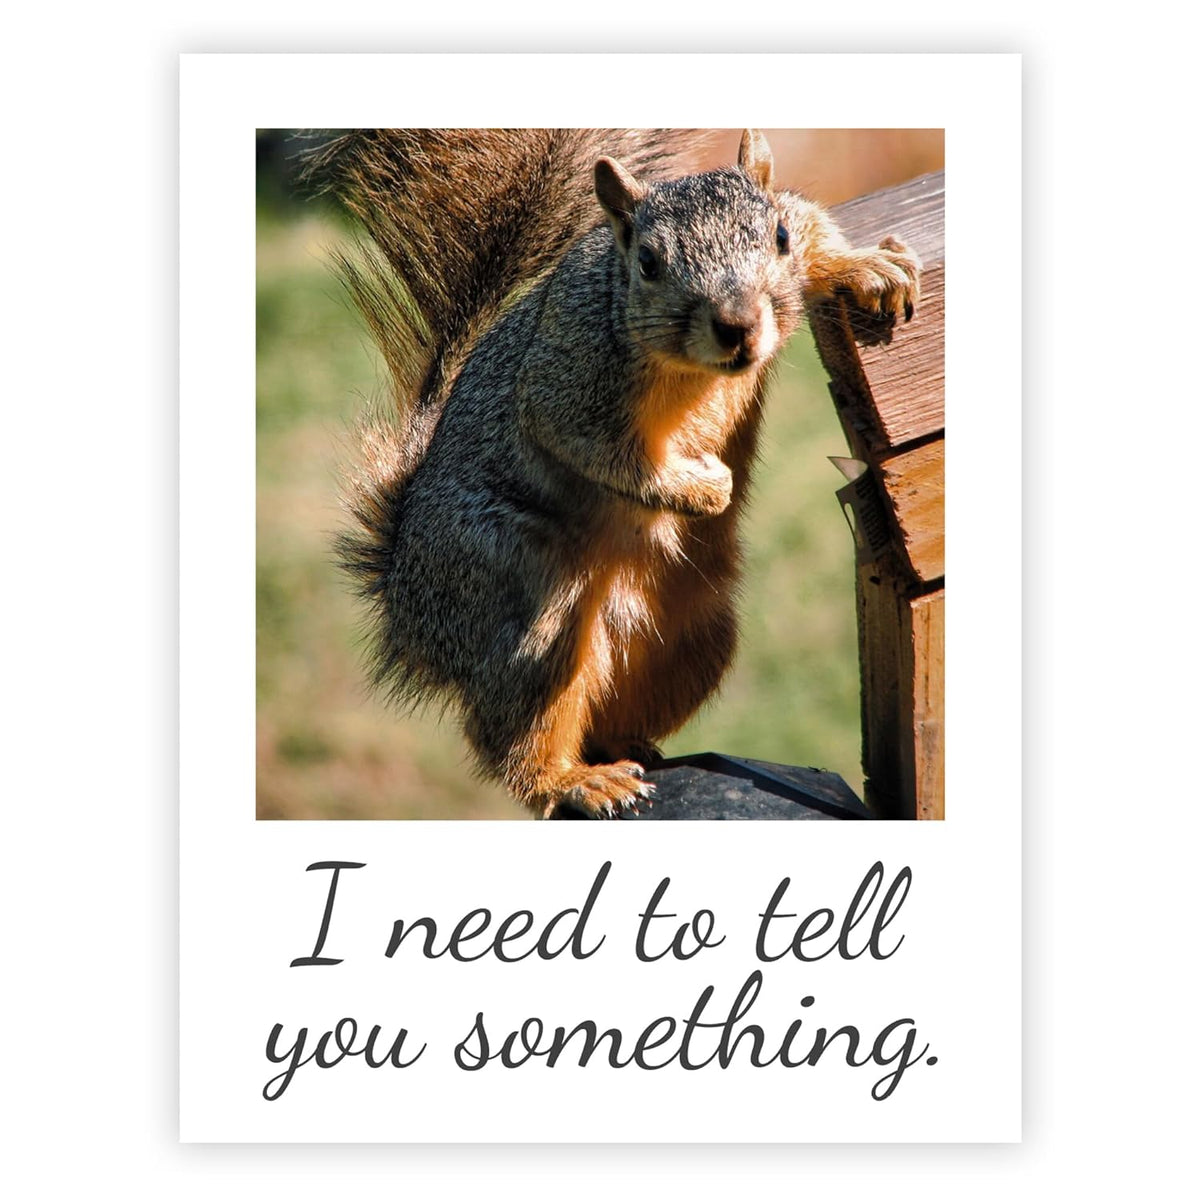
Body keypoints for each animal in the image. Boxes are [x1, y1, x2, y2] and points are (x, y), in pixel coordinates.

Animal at [304, 129, 920, 819]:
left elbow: (816, 222)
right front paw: (703, 487)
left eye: (779, 236)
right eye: (648, 263)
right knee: (512, 739)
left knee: (605, 717)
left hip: (700, 635)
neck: (692, 372)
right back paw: (572, 780)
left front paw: (869, 267)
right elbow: (597, 449)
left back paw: (623, 748)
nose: (737, 325)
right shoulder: (564, 383)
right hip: (521, 598)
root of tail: (407, 607)